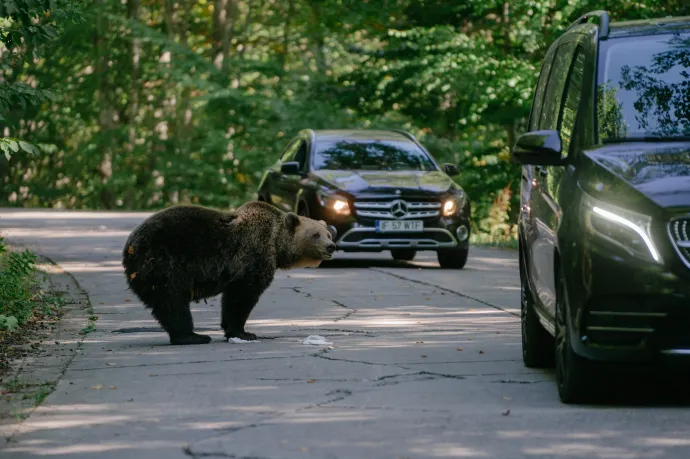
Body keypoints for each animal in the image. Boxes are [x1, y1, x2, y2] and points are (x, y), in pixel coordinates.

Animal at [123, 201, 338, 344]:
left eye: (328, 233)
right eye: (315, 235)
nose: (331, 246)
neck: (277, 245)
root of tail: (131, 246)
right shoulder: (251, 258)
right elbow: (242, 297)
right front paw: (243, 332)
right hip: (165, 263)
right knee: (173, 302)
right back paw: (193, 336)